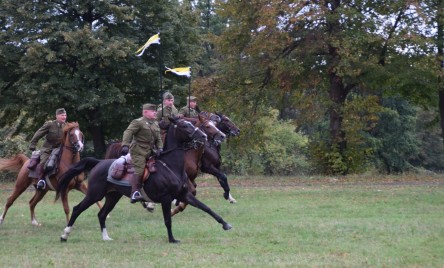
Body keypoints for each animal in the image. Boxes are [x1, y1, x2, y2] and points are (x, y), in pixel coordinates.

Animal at [54, 117, 232, 243]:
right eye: (184, 125)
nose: (203, 136)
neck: (171, 165)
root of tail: (98, 163)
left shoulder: (184, 195)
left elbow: (206, 207)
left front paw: (225, 224)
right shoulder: (166, 198)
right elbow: (167, 220)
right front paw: (172, 239)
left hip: (113, 196)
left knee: (101, 214)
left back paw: (105, 237)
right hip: (94, 195)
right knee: (77, 209)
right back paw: (64, 235)